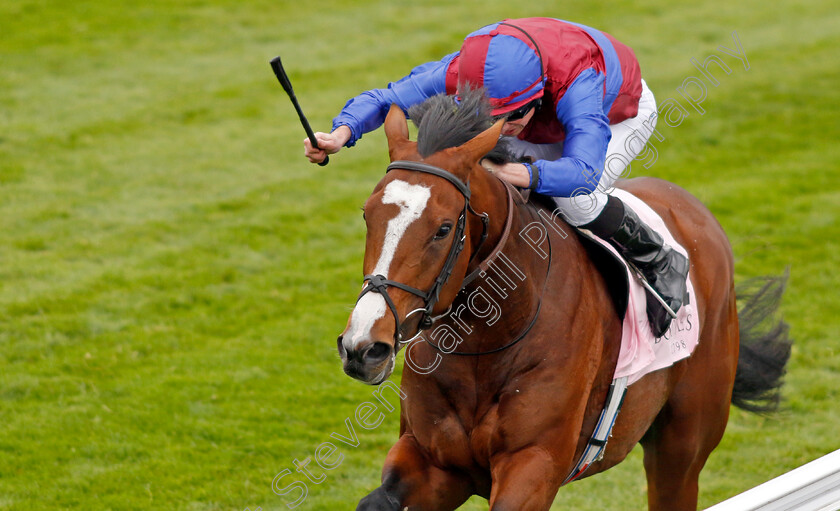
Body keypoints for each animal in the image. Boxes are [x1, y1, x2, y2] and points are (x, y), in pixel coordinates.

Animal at [338, 93, 792, 511]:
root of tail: (697, 214)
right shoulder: (435, 462)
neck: (486, 342)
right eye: (367, 215)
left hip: (682, 445)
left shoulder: (534, 463)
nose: (364, 347)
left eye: (443, 228)